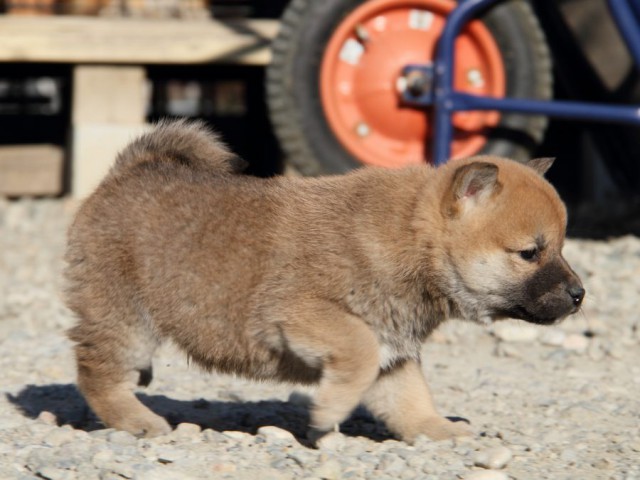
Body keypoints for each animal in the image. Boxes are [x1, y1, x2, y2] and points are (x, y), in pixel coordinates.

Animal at [65, 122, 584, 444]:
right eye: (530, 253)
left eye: (560, 246)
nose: (580, 295)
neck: (407, 240)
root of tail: (126, 172)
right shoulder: (304, 314)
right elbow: (357, 354)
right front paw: (328, 414)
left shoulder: (394, 352)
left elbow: (410, 399)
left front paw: (437, 428)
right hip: (123, 317)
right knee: (96, 373)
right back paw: (137, 419)